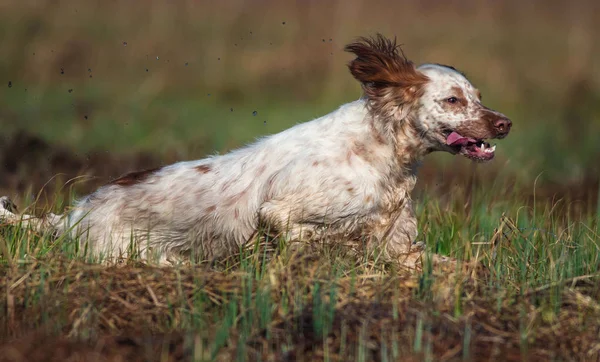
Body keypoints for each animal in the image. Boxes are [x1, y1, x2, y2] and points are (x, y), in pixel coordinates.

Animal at [0, 34, 510, 266]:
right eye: (453, 100)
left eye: (478, 96)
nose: (504, 124)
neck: (379, 150)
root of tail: (71, 216)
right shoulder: (280, 212)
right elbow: (312, 237)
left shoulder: (397, 242)